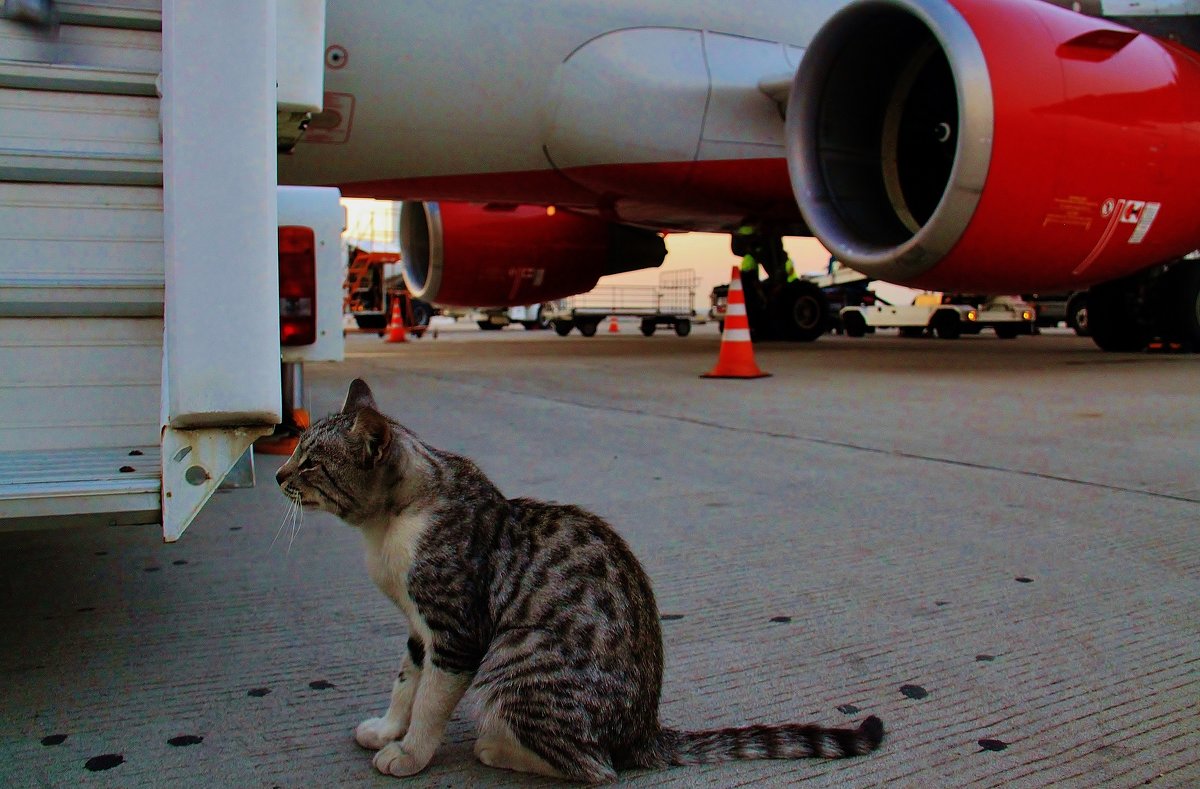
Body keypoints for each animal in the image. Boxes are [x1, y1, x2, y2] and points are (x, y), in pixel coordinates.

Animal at [278, 378, 883, 781]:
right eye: (296, 452)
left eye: (310, 463)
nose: (281, 475)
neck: (388, 528)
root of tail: (644, 732)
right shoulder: (418, 627)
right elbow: (405, 682)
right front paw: (388, 728)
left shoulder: (457, 632)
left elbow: (429, 700)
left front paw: (410, 753)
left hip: (514, 657)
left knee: (596, 768)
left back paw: (499, 749)